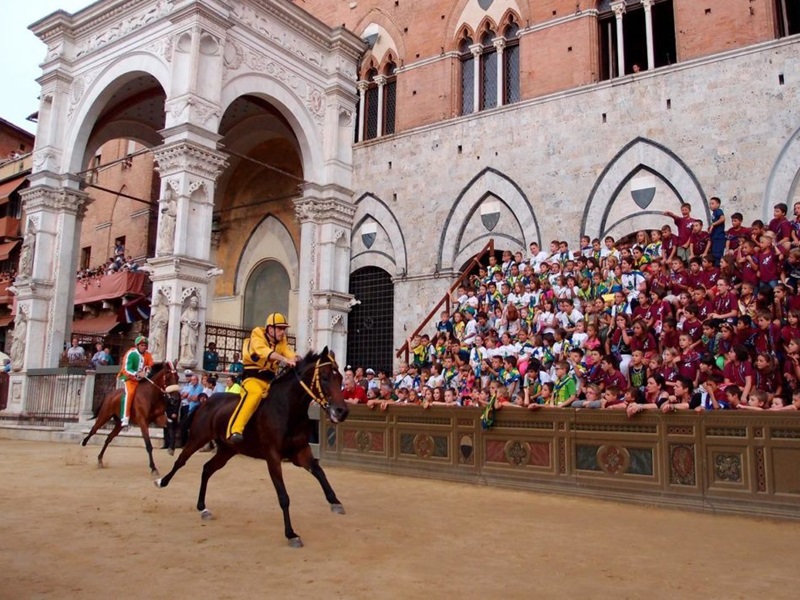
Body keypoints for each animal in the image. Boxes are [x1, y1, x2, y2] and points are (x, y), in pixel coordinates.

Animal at [153, 346, 346, 548]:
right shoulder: (273, 457)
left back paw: (203, 508)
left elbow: (320, 472)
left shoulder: (301, 452)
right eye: (325, 377)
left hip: (228, 450)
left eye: (340, 377)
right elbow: (283, 496)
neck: (287, 409)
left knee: (207, 469)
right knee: (181, 461)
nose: (342, 411)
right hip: (198, 438)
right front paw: (291, 534)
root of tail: (206, 401)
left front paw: (335, 502)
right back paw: (161, 481)